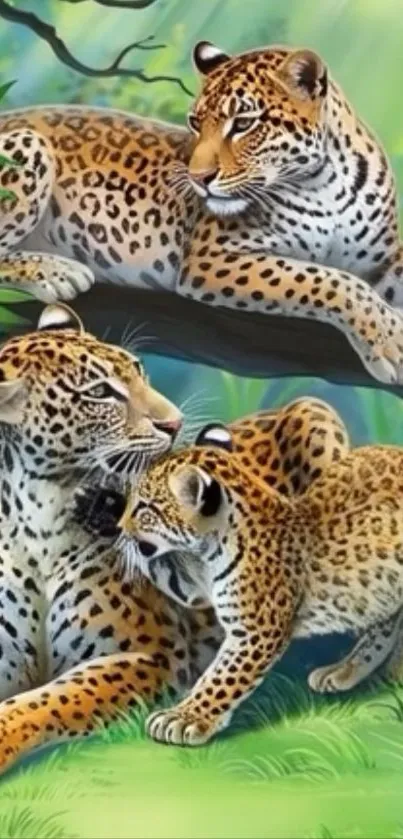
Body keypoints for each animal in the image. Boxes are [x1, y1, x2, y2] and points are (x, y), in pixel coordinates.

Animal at [0, 42, 402, 383]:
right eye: (196, 122)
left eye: (244, 123)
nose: (197, 178)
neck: (326, 184)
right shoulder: (212, 257)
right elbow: (328, 279)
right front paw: (389, 341)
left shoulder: (387, 260)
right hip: (28, 145)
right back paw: (57, 272)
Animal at [106, 424, 403, 747]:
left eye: (145, 508)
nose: (119, 527)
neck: (211, 550)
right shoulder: (196, 591)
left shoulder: (255, 632)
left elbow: (221, 678)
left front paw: (184, 718)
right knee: (383, 626)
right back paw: (343, 671)